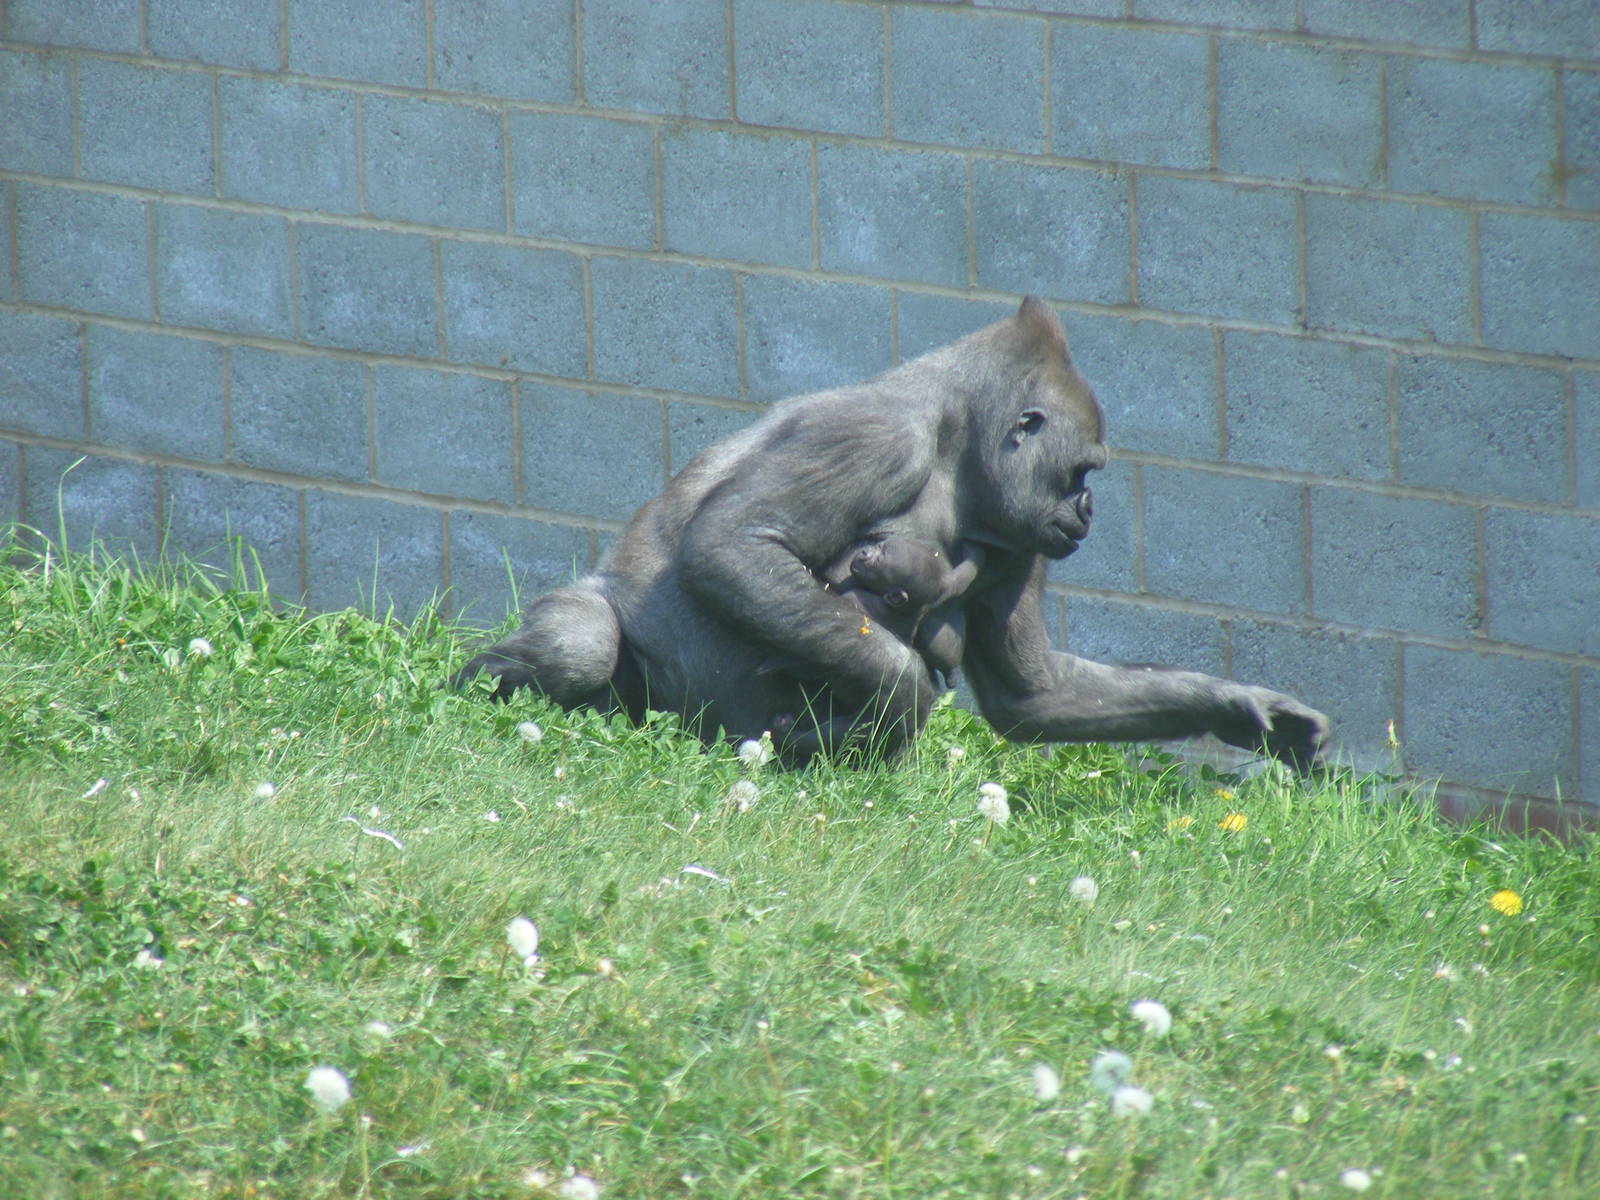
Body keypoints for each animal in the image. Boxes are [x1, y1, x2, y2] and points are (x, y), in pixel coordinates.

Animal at [453, 296, 1329, 769]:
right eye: (1083, 472)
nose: (1087, 513)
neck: (955, 440)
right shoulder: (878, 438)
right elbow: (732, 549)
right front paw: (899, 694)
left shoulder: (1017, 534)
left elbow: (1036, 695)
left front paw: (1236, 706)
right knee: (580, 645)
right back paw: (481, 692)